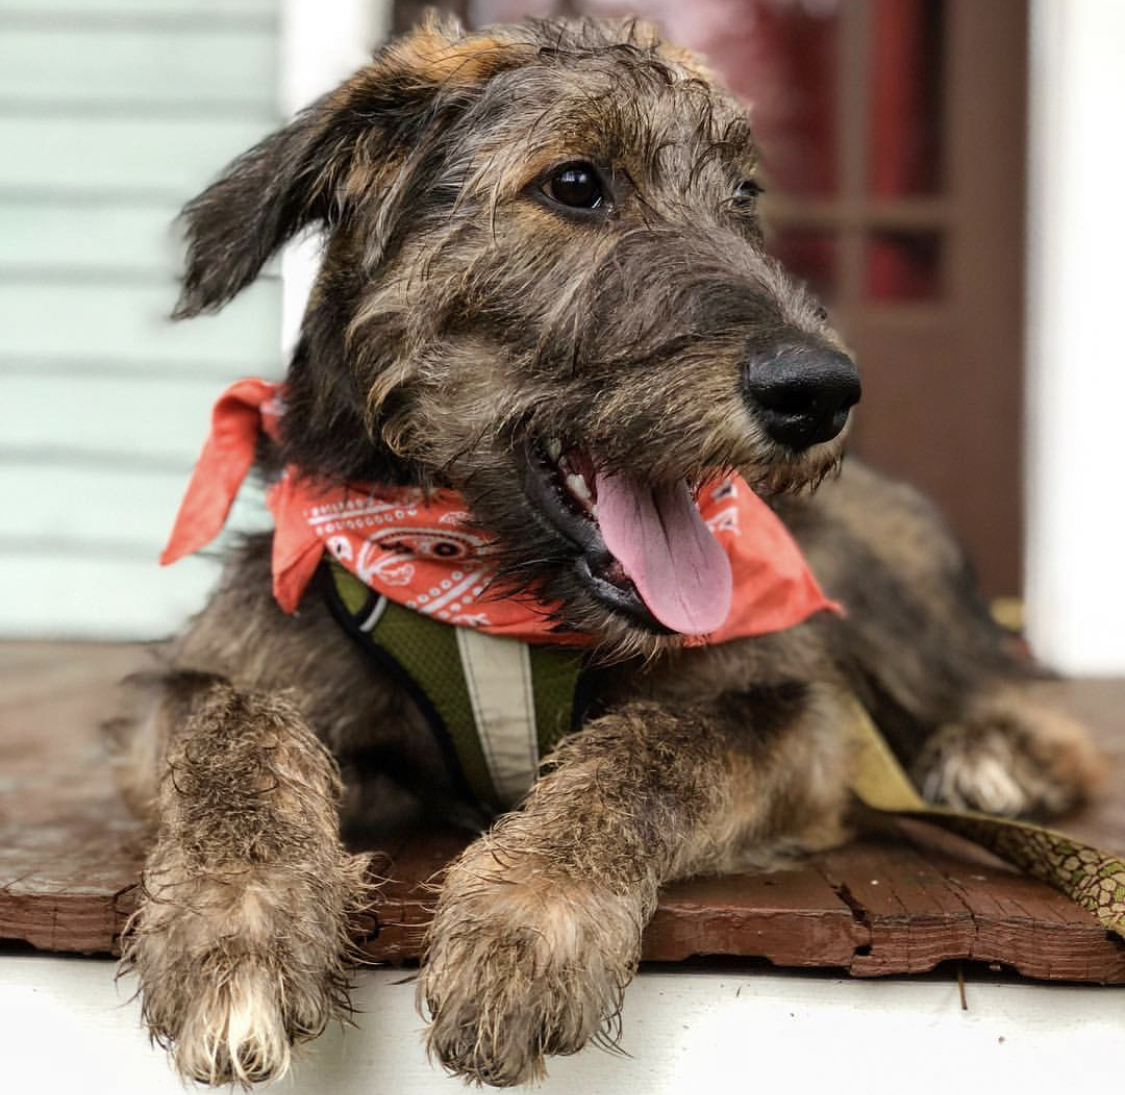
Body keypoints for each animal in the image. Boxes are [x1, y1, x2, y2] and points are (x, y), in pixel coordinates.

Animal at [111, 14, 1098, 1084]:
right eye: (576, 183)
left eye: (742, 194)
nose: (822, 392)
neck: (487, 592)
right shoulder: (222, 667)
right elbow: (229, 725)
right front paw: (233, 929)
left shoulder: (791, 714)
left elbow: (651, 750)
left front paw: (524, 923)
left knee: (1004, 686)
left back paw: (996, 754)